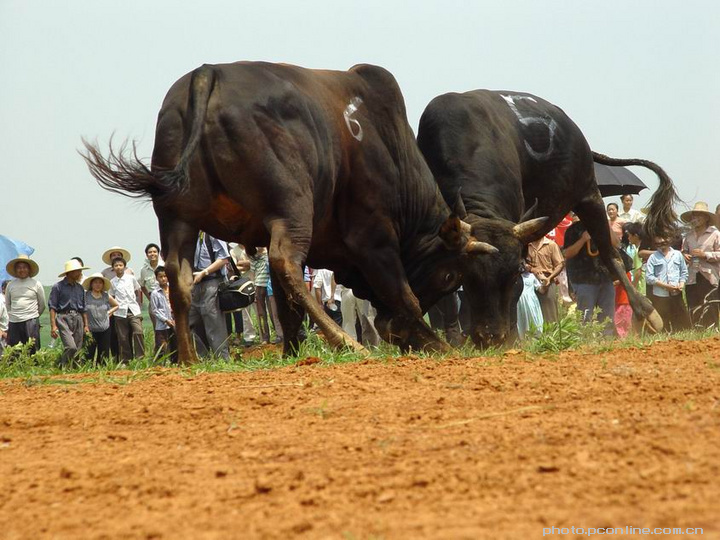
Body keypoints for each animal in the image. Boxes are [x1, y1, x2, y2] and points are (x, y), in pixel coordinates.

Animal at [83, 62, 512, 362]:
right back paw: (347, 343)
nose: (394, 334)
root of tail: (208, 73)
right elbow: (402, 293)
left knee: (180, 277)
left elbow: (288, 307)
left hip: (178, 218)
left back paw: (189, 358)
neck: (388, 146)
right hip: (292, 208)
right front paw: (435, 342)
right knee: (286, 261)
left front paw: (291, 352)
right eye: (450, 276)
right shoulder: (373, 237)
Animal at [420, 89, 676, 346]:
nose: (491, 336)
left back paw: (647, 313)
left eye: (512, 274)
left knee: (610, 253)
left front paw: (512, 337)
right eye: (468, 275)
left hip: (588, 194)